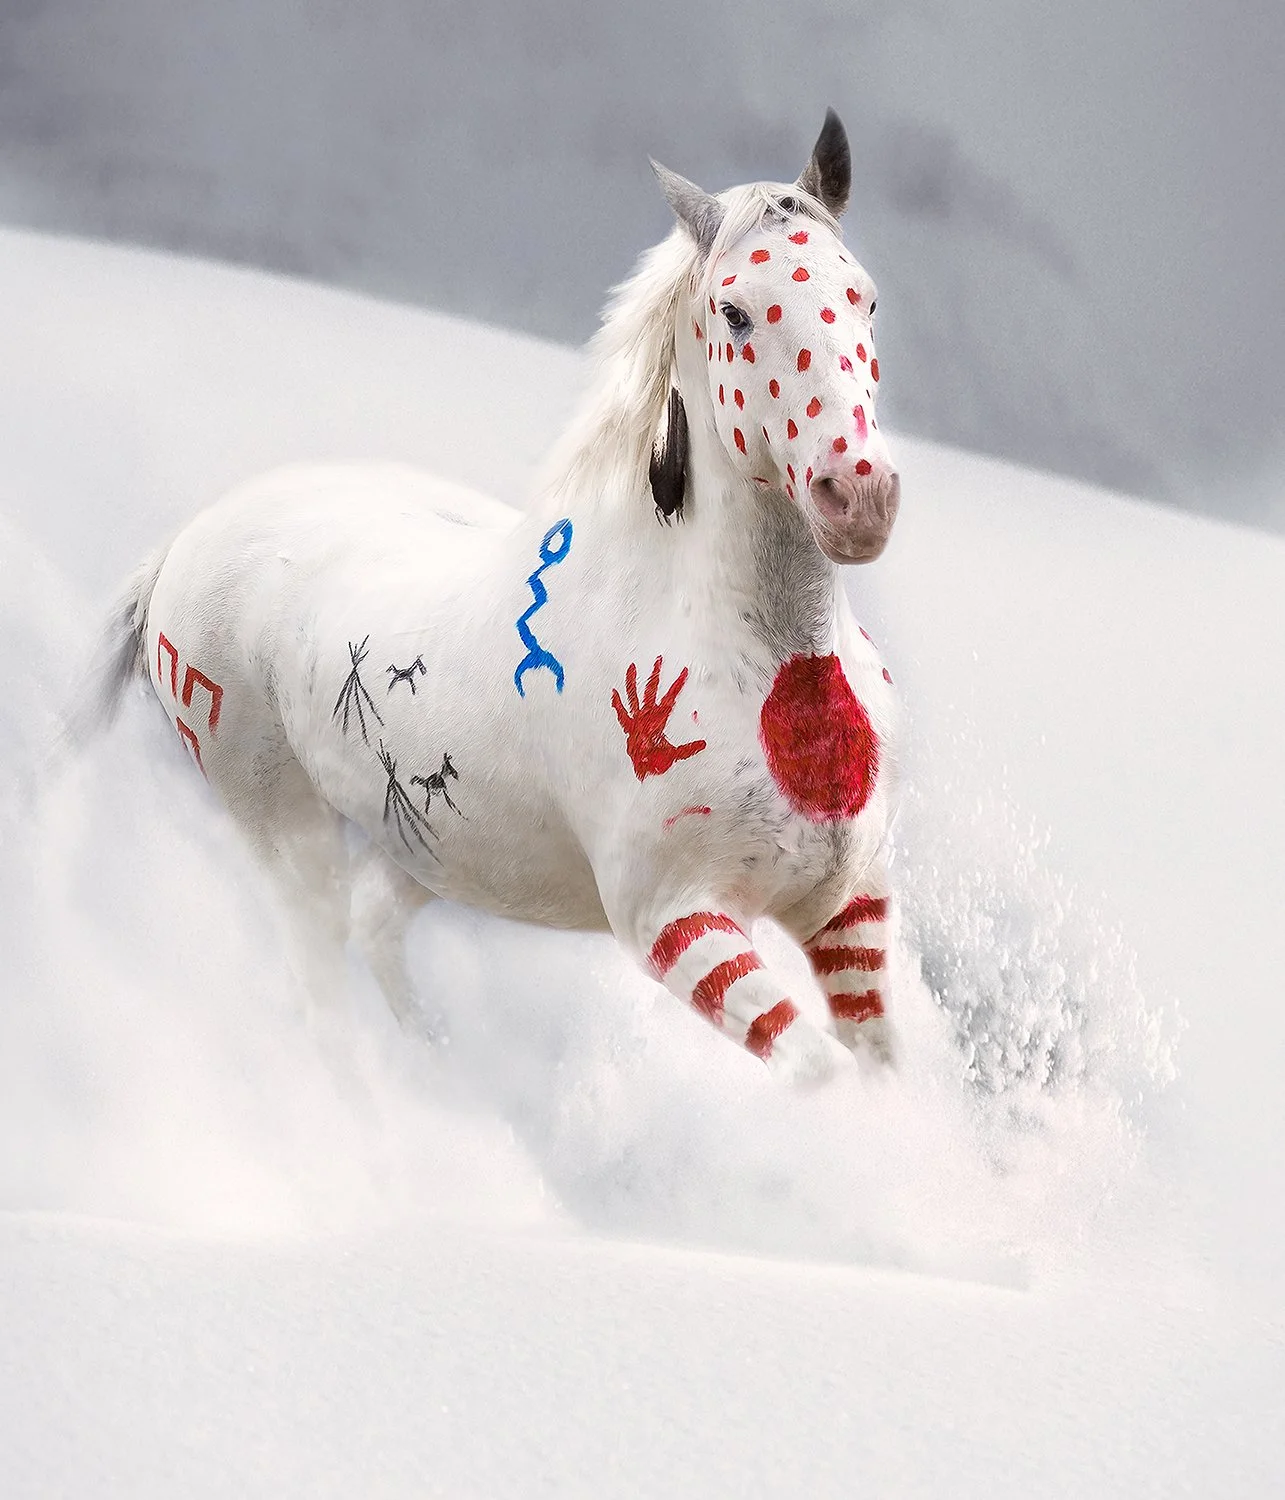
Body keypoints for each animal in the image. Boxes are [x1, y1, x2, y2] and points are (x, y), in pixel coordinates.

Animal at [87, 109, 902, 1084]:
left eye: (864, 299)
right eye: (737, 311)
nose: (856, 498)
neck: (764, 663)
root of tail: (179, 547)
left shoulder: (849, 908)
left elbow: (881, 1071)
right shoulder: (674, 919)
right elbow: (819, 1076)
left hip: (431, 849)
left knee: (374, 932)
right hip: (280, 820)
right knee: (323, 991)